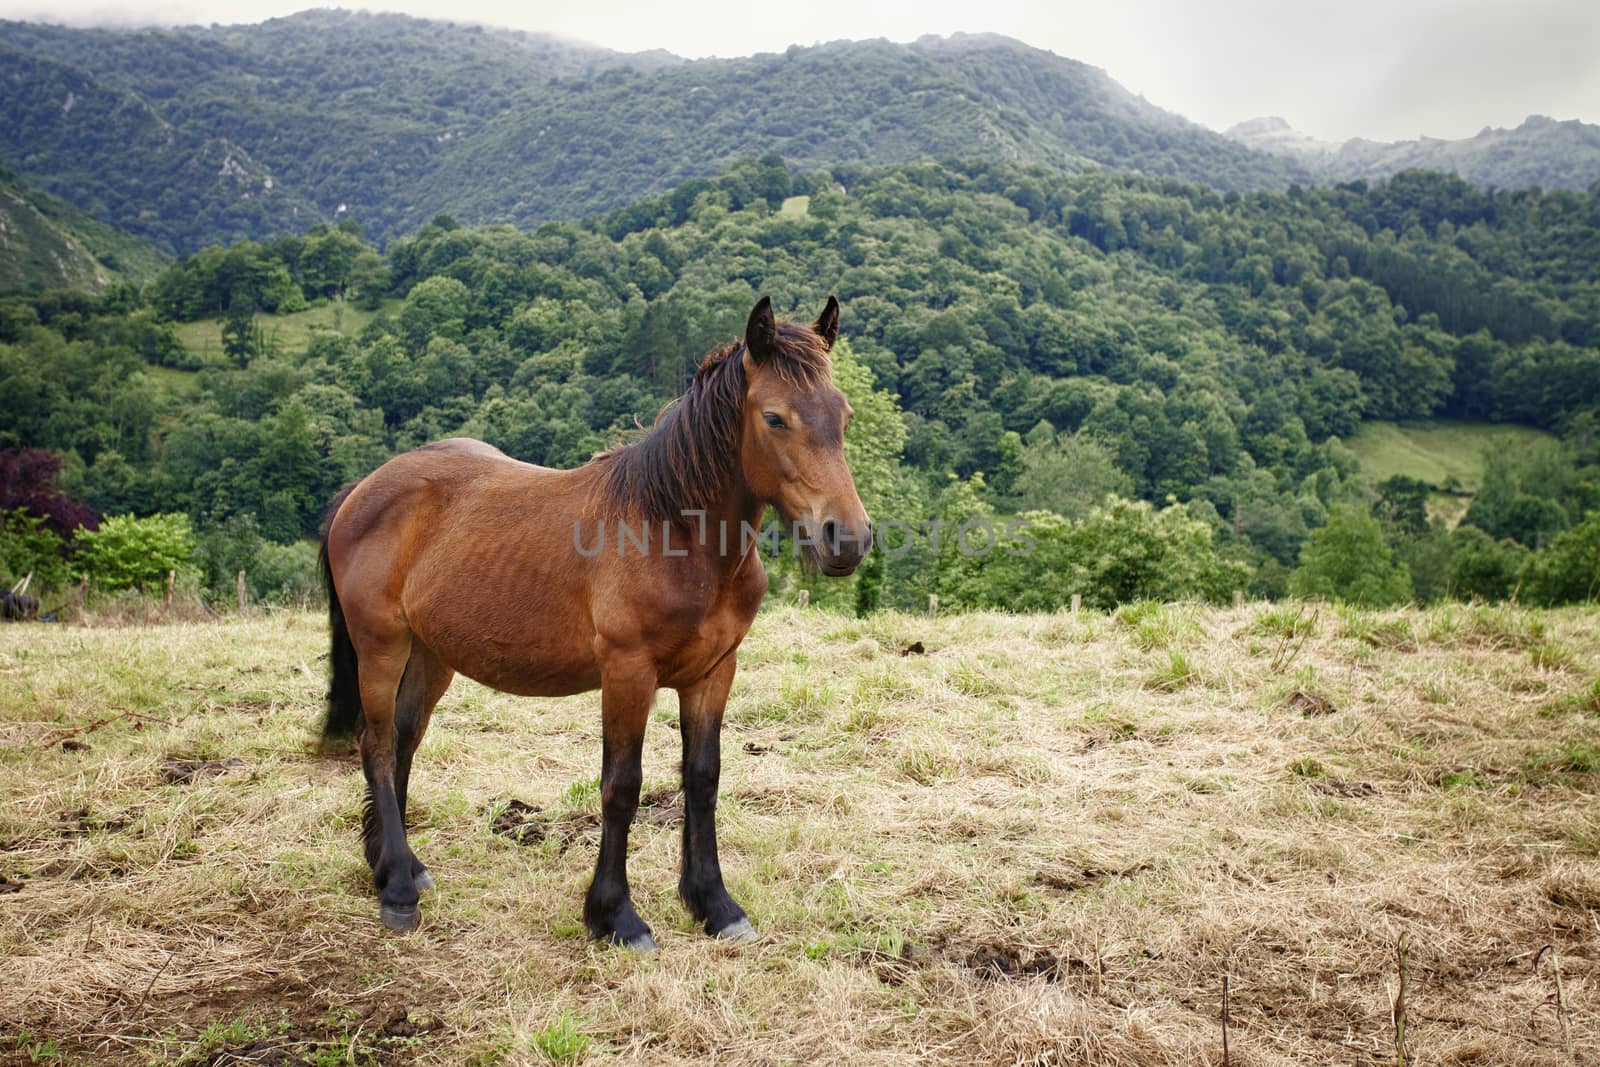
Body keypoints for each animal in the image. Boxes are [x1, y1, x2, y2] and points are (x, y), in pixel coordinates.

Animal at [316, 295, 870, 947]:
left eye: (843, 414)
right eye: (776, 418)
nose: (847, 538)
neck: (675, 534)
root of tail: (363, 490)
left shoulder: (713, 672)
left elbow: (703, 778)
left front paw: (714, 905)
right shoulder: (627, 673)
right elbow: (621, 785)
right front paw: (616, 917)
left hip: (431, 655)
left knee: (404, 739)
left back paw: (394, 865)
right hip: (382, 647)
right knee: (376, 744)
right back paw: (398, 892)